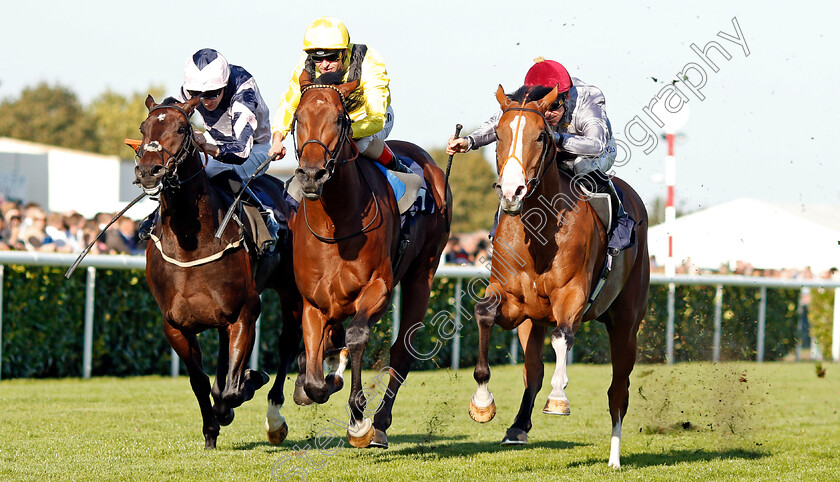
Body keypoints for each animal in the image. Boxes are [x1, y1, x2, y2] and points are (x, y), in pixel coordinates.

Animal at [131, 96, 302, 450]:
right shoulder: (175, 325)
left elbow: (231, 389)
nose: (149, 170)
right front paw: (210, 430)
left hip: (289, 288)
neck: (191, 243)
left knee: (287, 343)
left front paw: (250, 381)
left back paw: (275, 419)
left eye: (182, 128)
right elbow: (200, 381)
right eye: (143, 127)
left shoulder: (245, 312)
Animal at [290, 71, 450, 448]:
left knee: (401, 350)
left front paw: (358, 418)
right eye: (298, 118)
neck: (334, 224)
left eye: (339, 119)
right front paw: (318, 381)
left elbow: (357, 336)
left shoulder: (378, 287)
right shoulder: (313, 303)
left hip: (422, 275)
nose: (312, 175)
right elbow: (314, 377)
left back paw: (379, 422)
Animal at [470, 84, 652, 466]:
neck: (539, 232)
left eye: (541, 135)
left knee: (618, 390)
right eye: (499, 134)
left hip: (627, 323)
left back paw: (614, 457)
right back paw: (517, 427)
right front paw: (482, 402)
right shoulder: (512, 301)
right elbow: (483, 313)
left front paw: (559, 398)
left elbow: (563, 336)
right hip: (532, 321)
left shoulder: (572, 296)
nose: (512, 192)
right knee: (533, 371)